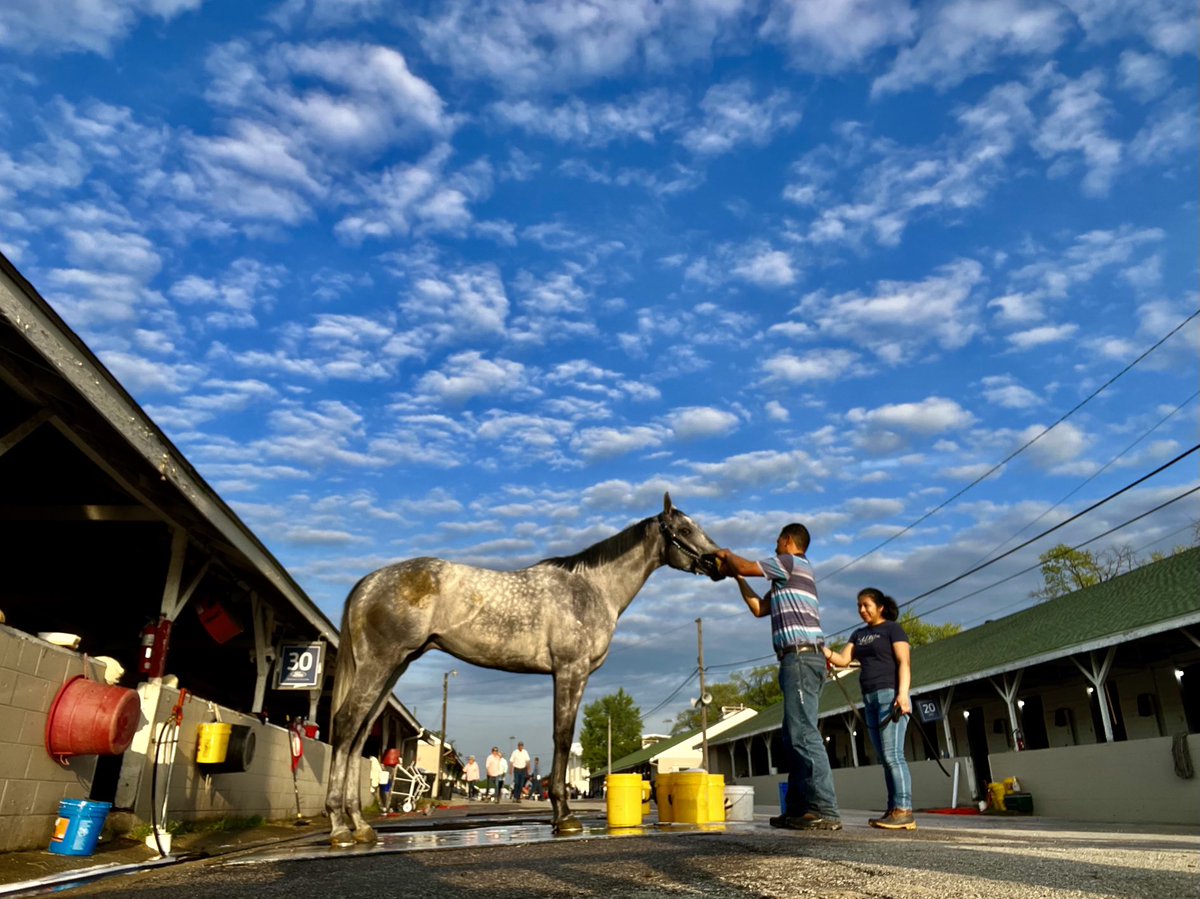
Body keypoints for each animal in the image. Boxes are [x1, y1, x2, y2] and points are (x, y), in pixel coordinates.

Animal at [324, 492, 720, 840]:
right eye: (684, 530)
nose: (716, 562)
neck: (590, 589)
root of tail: (368, 583)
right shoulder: (570, 670)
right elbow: (563, 736)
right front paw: (564, 817)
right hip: (381, 663)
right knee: (345, 723)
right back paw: (340, 826)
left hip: (394, 667)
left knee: (360, 733)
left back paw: (360, 825)